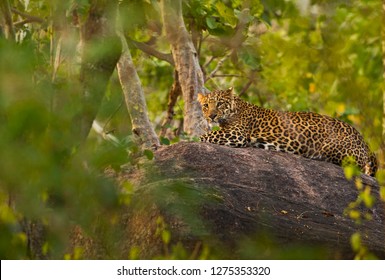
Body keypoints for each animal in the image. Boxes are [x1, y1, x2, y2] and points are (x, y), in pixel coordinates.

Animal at [196, 87, 376, 177]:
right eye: (206, 105)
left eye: (220, 104)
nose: (211, 116)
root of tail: (365, 143)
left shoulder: (236, 134)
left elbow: (203, 136)